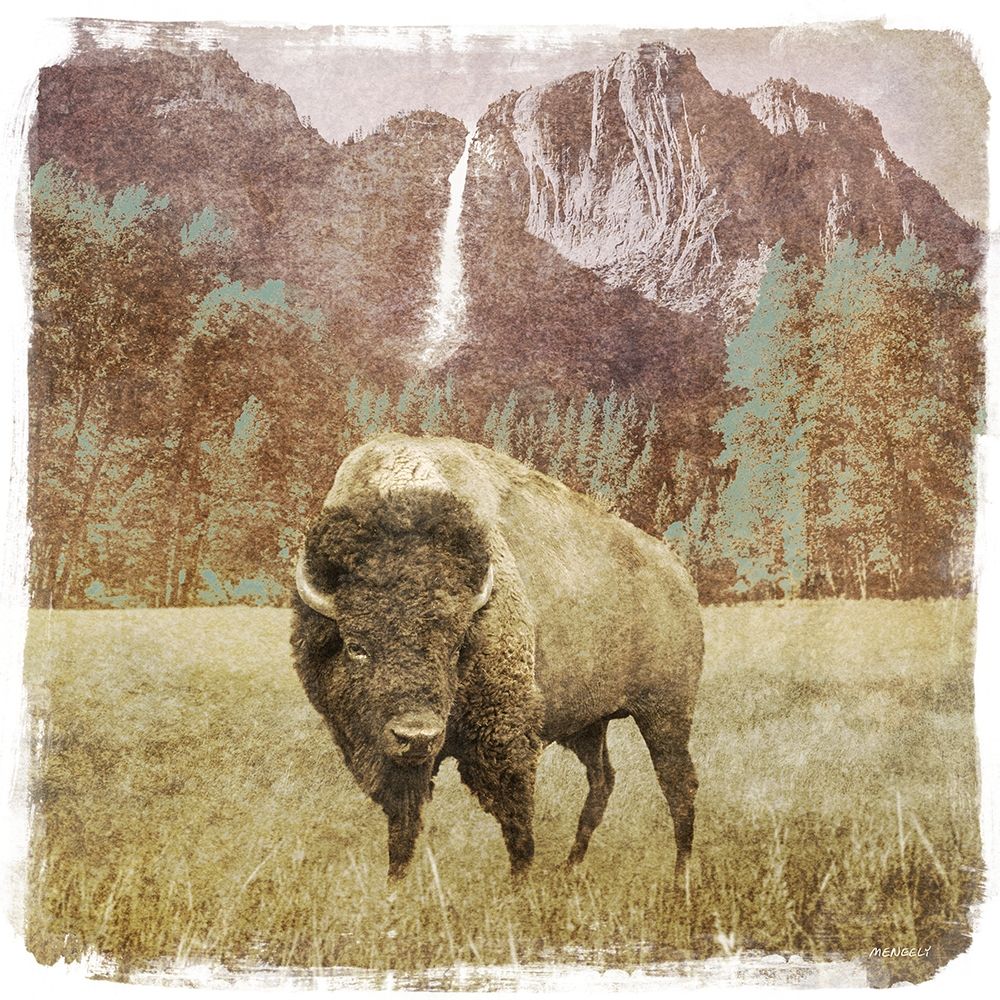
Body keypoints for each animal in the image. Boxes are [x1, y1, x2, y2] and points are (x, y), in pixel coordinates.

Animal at [291, 433, 703, 881]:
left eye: (456, 645)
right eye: (356, 646)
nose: (417, 736)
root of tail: (679, 573)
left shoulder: (505, 737)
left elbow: (516, 821)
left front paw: (519, 884)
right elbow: (403, 825)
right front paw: (396, 882)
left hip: (665, 713)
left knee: (679, 785)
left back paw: (680, 876)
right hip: (591, 725)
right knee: (602, 780)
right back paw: (571, 865)